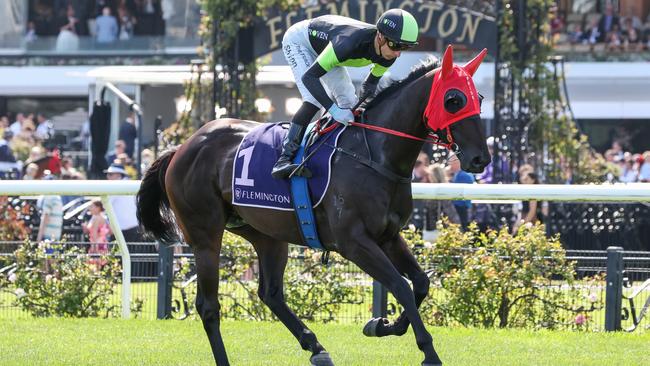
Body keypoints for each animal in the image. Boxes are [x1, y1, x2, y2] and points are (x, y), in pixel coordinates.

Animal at [138, 46, 492, 366]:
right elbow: (401, 287)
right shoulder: (354, 242)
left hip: (265, 233)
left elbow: (420, 283)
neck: (375, 155)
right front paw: (428, 352)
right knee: (208, 306)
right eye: (454, 100)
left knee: (271, 293)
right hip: (205, 235)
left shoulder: (389, 236)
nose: (480, 159)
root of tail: (181, 147)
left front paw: (382, 325)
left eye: (480, 98)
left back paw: (316, 347)